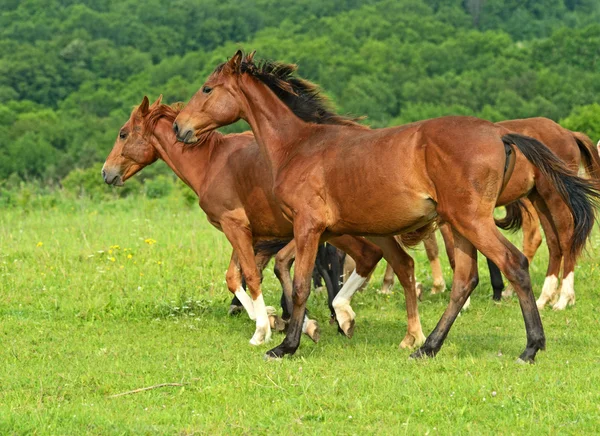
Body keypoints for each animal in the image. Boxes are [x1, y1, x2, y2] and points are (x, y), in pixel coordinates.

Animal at [102, 95, 426, 348]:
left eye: (122, 133)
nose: (107, 173)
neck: (211, 163)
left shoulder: (237, 227)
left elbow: (251, 276)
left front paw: (269, 327)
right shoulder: (250, 234)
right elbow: (237, 277)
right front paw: (273, 318)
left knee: (373, 258)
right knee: (378, 259)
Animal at [173, 50, 600, 362]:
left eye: (207, 89)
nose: (180, 128)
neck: (298, 147)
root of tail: (500, 134)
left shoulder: (308, 227)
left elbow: (301, 284)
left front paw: (286, 345)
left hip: (475, 220)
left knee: (516, 263)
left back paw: (530, 346)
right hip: (461, 225)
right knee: (465, 281)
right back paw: (428, 347)